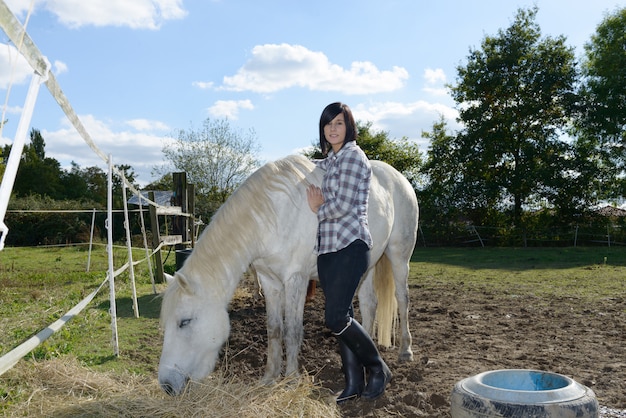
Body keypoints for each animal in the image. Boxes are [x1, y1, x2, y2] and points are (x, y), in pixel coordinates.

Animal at [158, 154, 416, 396]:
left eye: (184, 322)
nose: (166, 385)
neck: (272, 216)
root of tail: (400, 178)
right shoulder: (269, 281)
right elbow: (274, 329)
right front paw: (270, 376)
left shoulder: (296, 279)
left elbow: (292, 331)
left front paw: (291, 379)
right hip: (367, 266)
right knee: (369, 304)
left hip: (398, 256)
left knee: (402, 299)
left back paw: (405, 350)